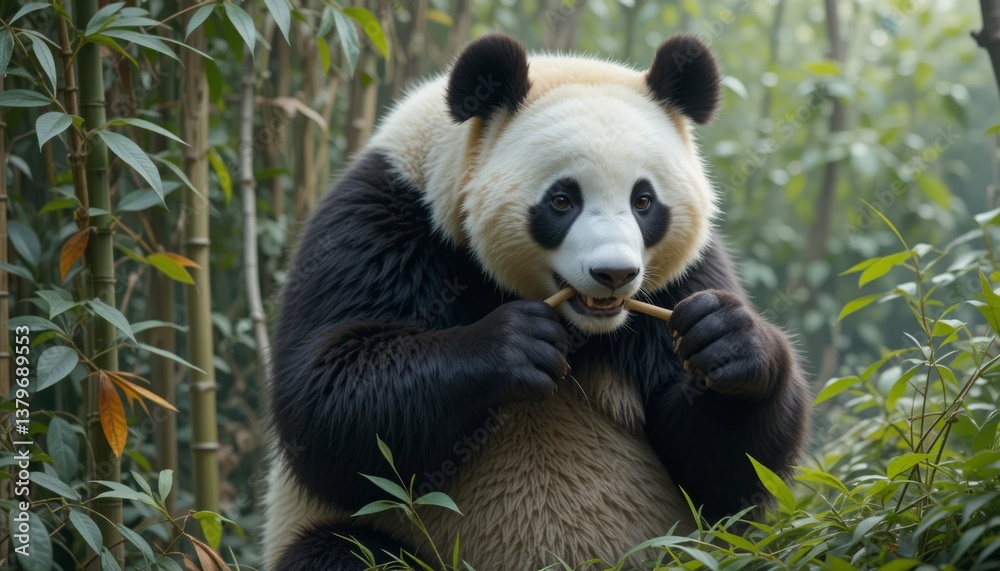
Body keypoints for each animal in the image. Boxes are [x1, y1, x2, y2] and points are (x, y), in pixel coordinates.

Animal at [262, 33, 810, 570]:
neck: (579, 328)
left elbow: (719, 470)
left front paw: (725, 340)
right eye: (562, 200)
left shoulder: (685, 275)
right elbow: (329, 404)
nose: (615, 274)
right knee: (344, 552)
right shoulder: (383, 223)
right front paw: (515, 345)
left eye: (644, 201)